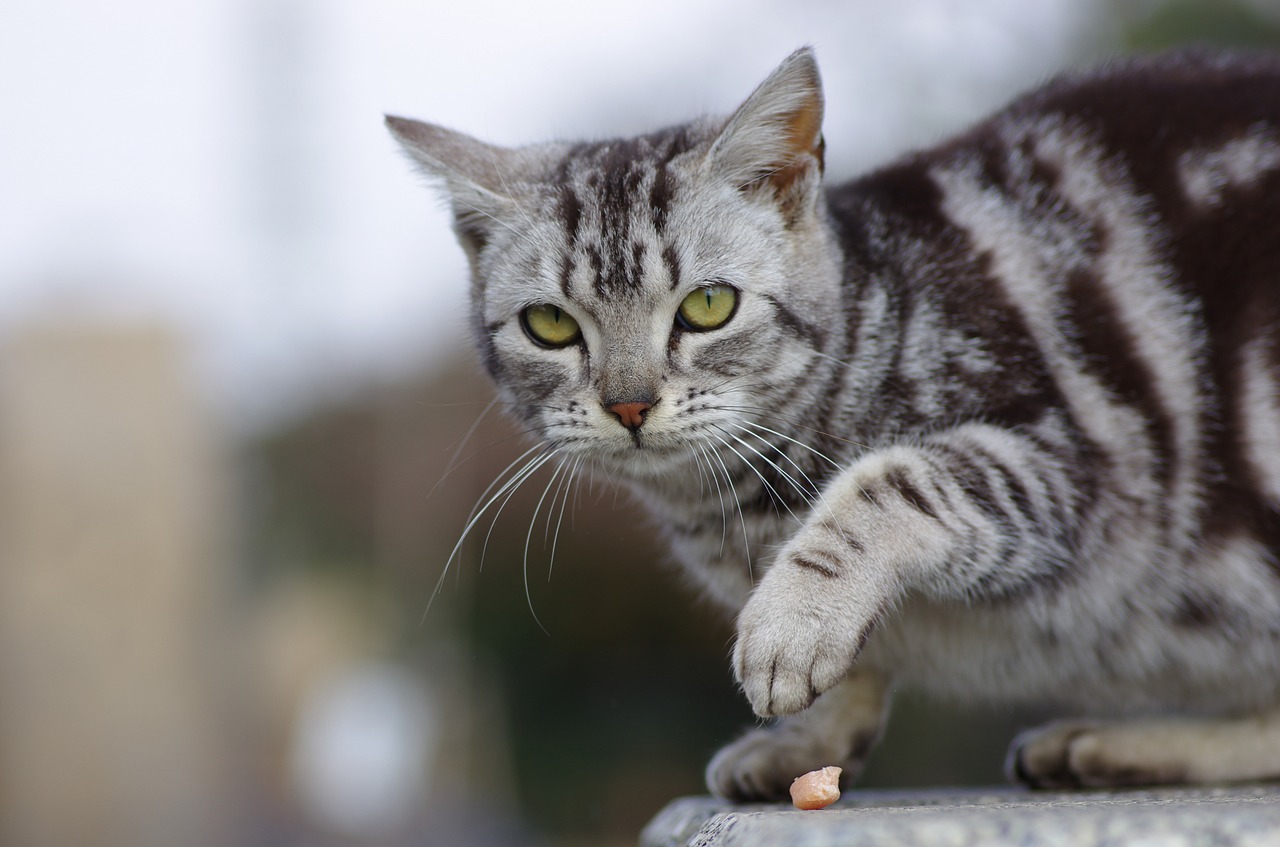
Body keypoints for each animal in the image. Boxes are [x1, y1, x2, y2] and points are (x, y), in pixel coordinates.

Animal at [384, 47, 1280, 803]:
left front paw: (793, 623)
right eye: (550, 326)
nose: (629, 404)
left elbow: (892, 480)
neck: (735, 509)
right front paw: (812, 730)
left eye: (708, 307)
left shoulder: (1079, 462)